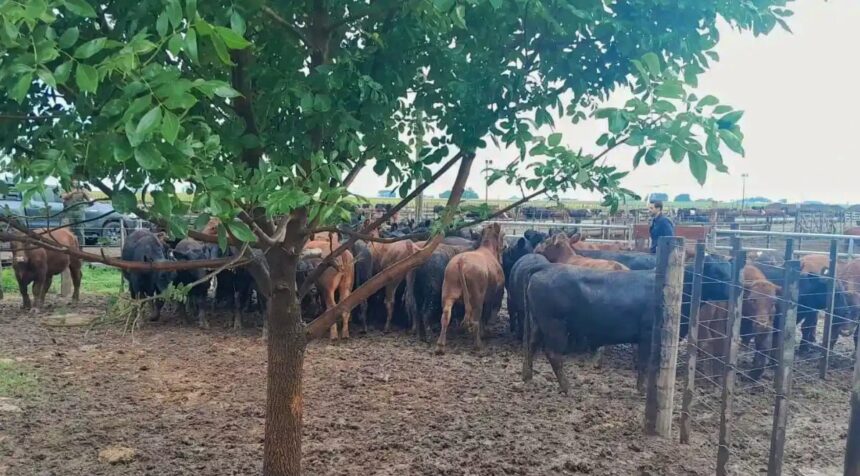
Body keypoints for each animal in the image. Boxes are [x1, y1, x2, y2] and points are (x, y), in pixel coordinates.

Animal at [436, 223, 506, 354]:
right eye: (503, 234)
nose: (506, 245)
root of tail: (461, 261)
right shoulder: (493, 297)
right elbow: (485, 316)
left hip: (448, 292)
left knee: (446, 315)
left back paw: (440, 346)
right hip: (477, 297)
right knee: (476, 320)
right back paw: (478, 345)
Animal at [522, 255, 732, 393]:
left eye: (729, 270)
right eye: (717, 273)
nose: (734, 289)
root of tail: (546, 268)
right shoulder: (647, 335)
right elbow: (645, 363)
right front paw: (642, 389)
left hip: (538, 323)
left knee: (531, 345)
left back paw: (527, 376)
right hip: (554, 325)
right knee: (553, 354)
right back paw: (567, 387)